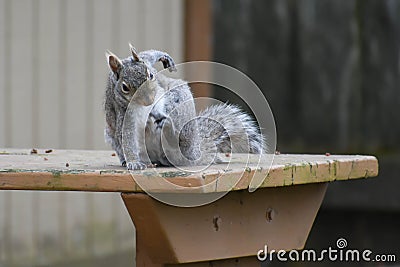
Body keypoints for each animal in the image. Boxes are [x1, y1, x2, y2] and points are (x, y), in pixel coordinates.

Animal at [104, 43, 264, 170]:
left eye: (151, 75)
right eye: (125, 87)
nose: (149, 100)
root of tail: (197, 151)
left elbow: (149, 55)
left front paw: (163, 56)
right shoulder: (125, 115)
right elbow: (127, 138)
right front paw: (133, 162)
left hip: (181, 107)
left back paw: (169, 127)